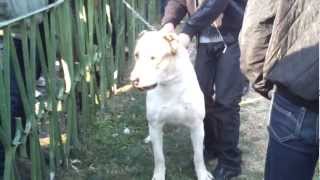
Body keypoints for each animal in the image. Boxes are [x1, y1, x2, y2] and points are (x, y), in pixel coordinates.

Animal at [130, 31, 212, 180]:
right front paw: (159, 175)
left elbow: (198, 157)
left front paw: (202, 174)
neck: (171, 85)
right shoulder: (156, 125)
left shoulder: (197, 126)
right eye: (136, 55)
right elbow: (159, 157)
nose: (133, 80)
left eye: (153, 57)